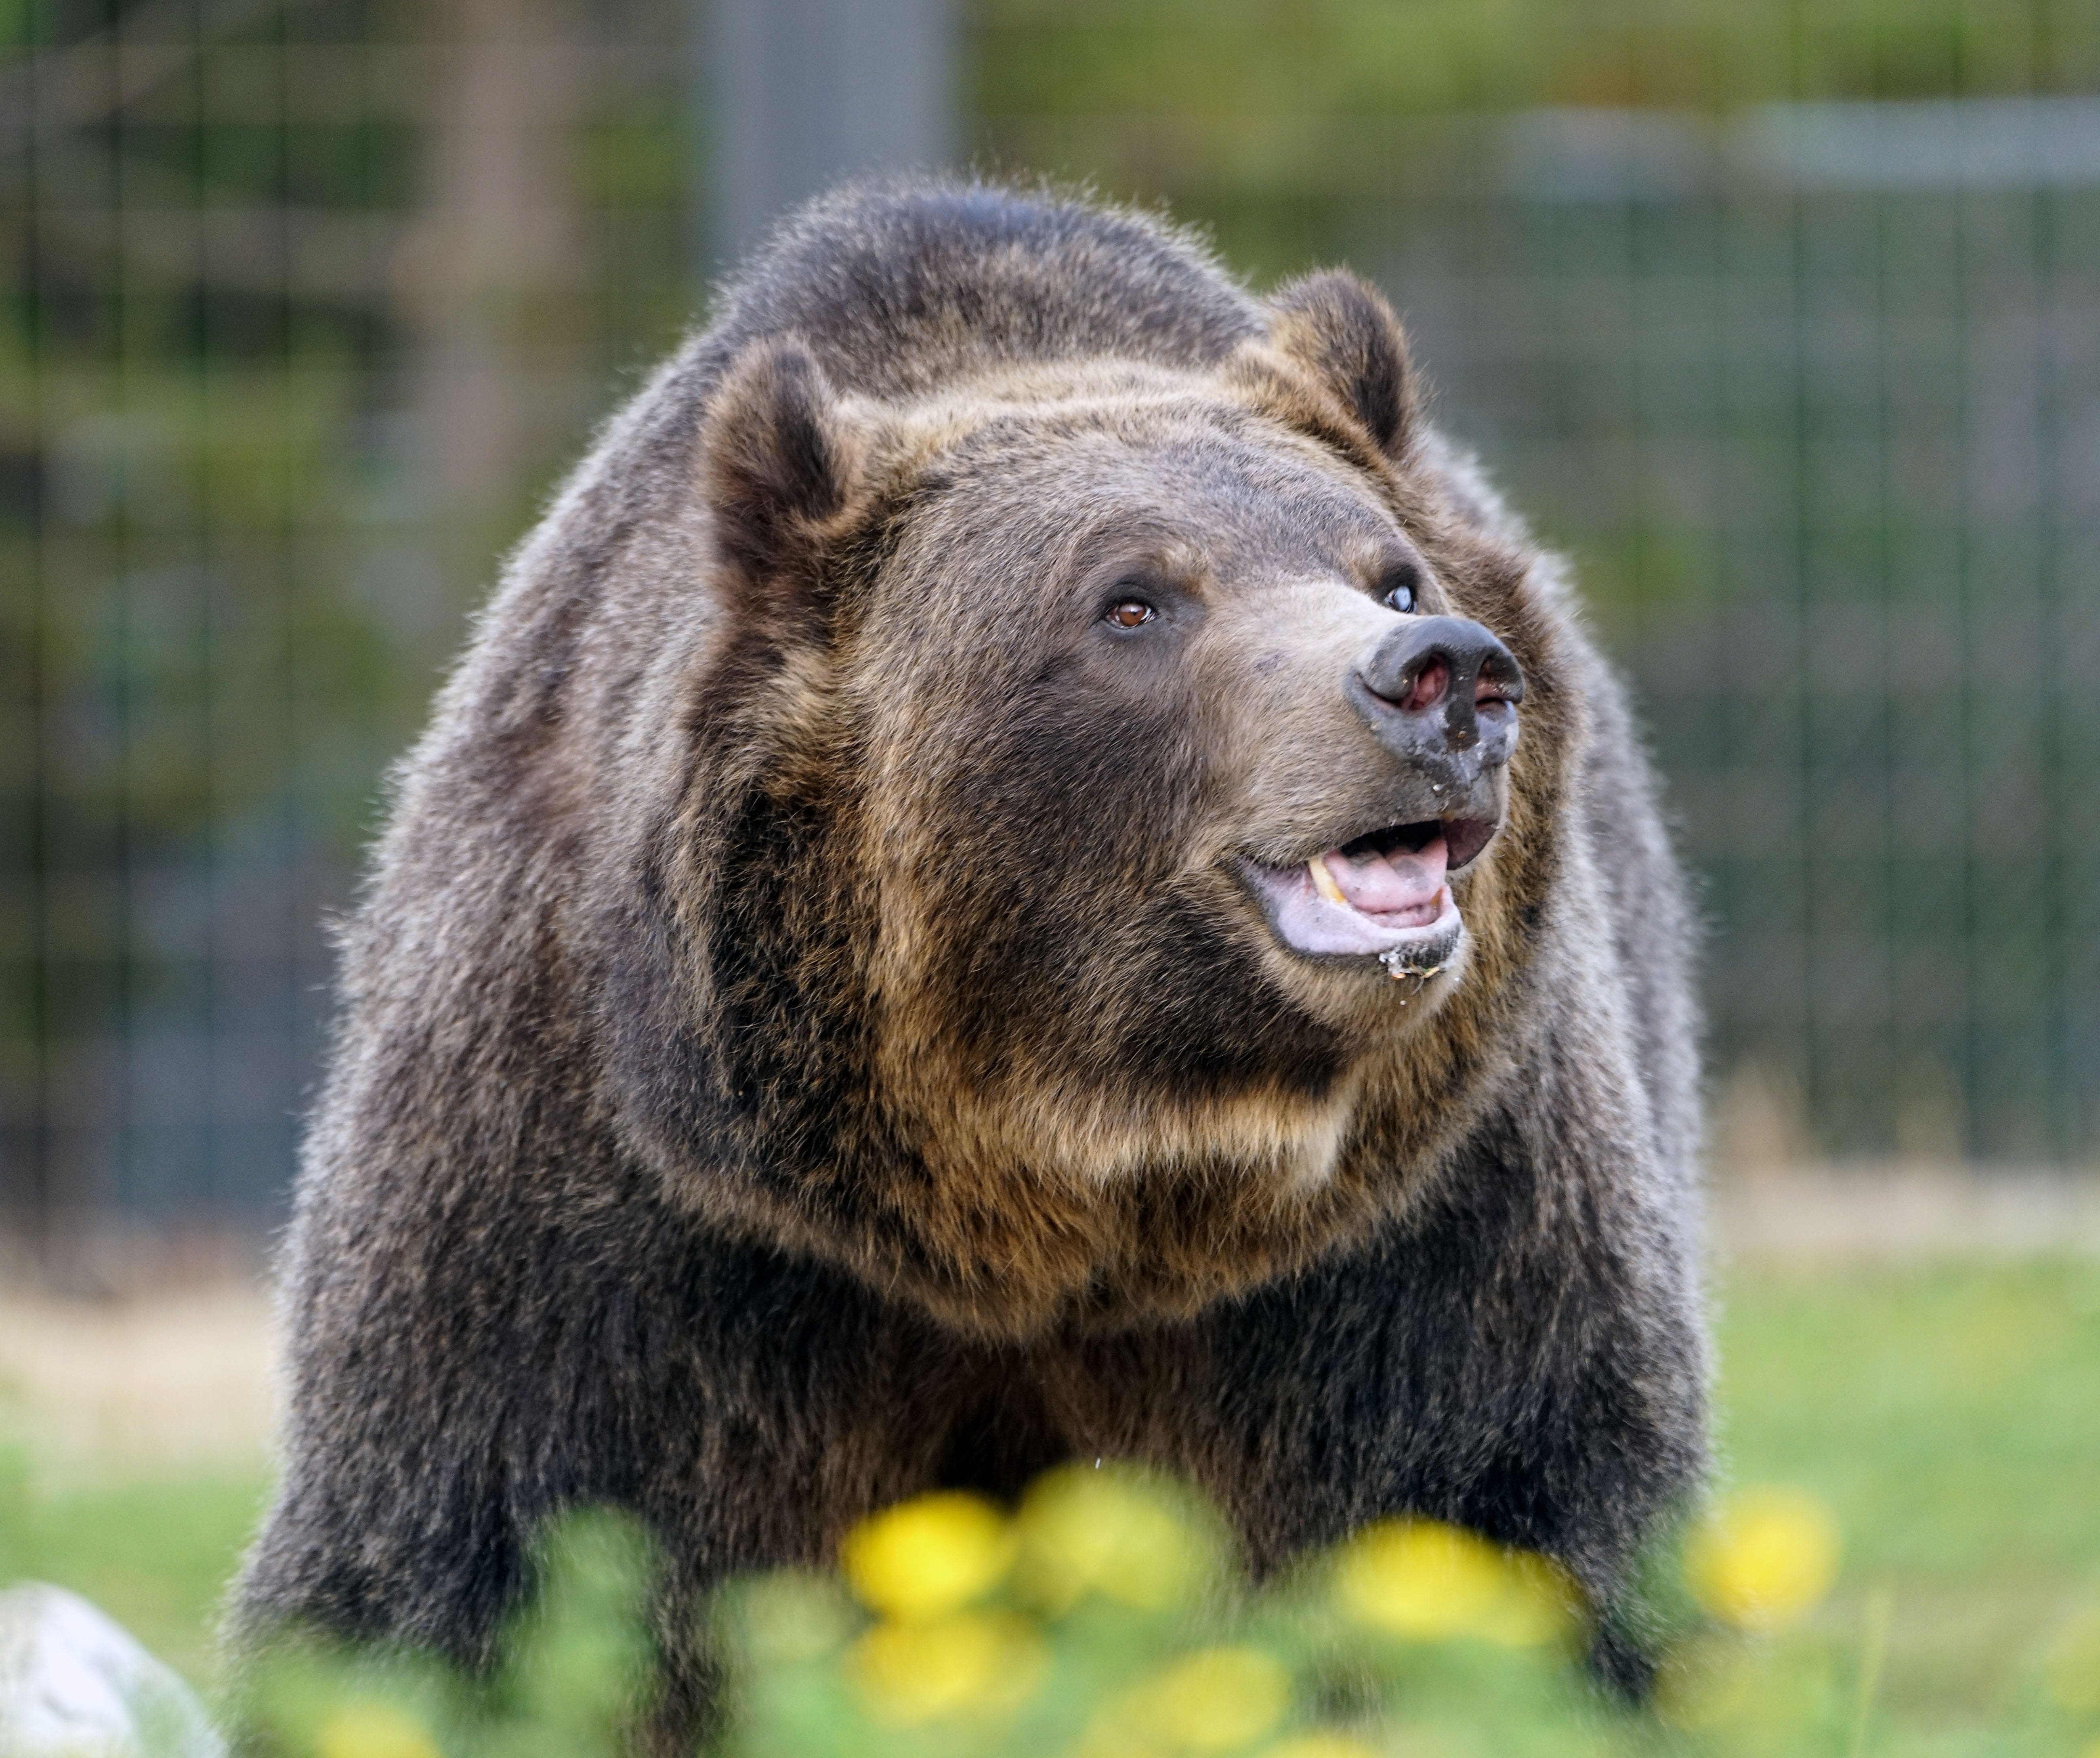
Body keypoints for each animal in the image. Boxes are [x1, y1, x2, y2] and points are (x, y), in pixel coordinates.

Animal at [234, 179, 1705, 1739]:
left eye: (1389, 573)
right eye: (1133, 599)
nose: (1441, 677)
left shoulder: (1419, 1233)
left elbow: (1516, 1519)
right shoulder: (608, 1207)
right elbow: (459, 1570)